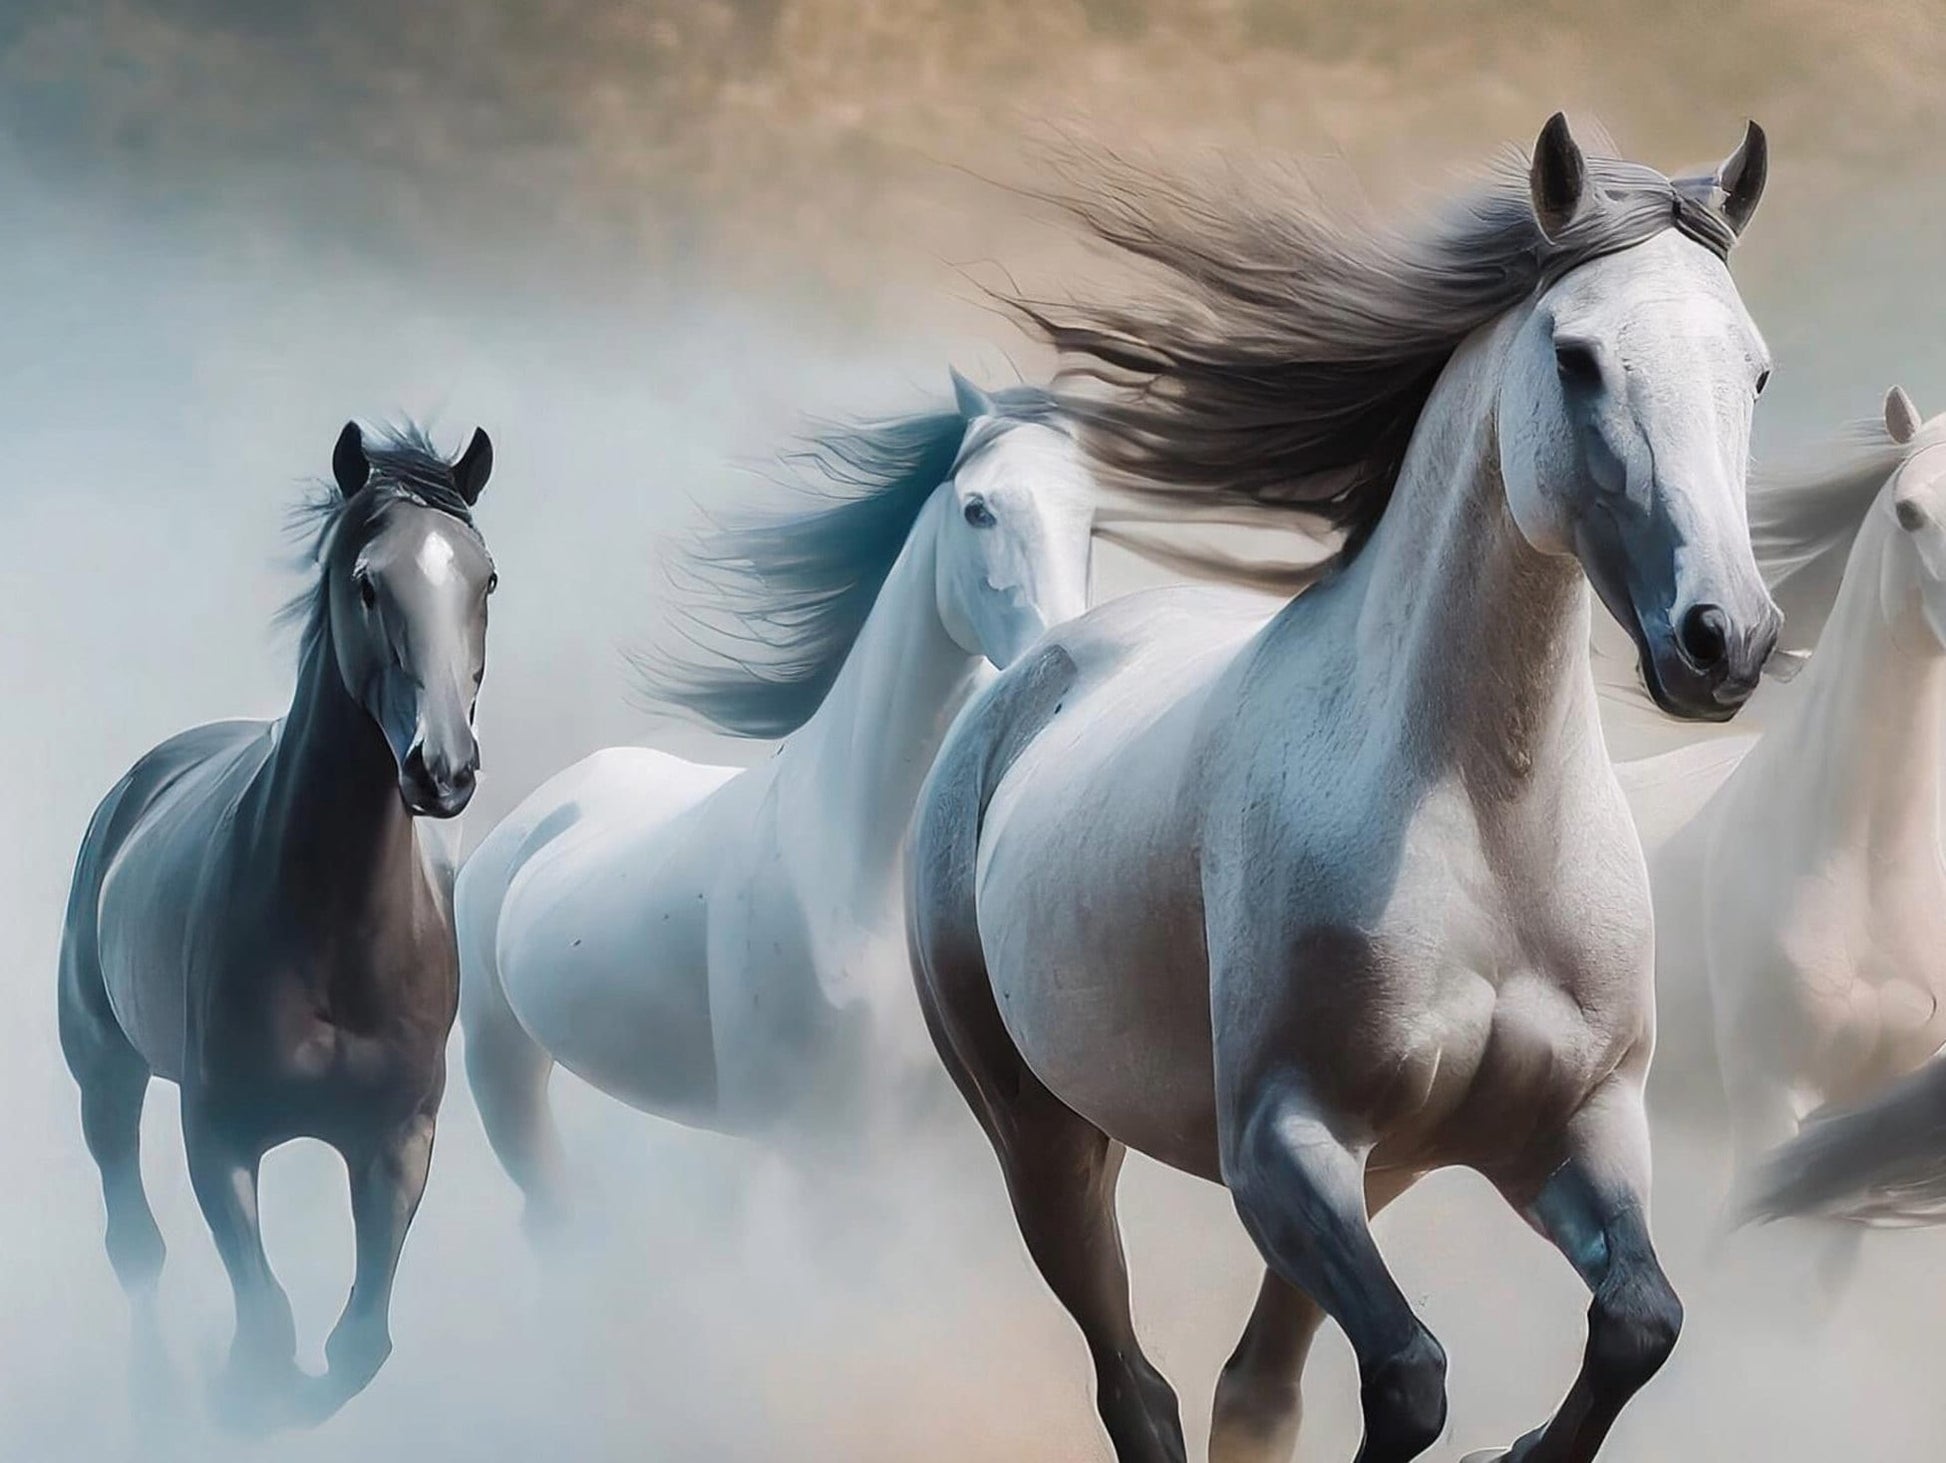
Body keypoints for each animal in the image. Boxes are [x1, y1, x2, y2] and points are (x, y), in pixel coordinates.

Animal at [58, 422, 497, 1427]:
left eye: (485, 577)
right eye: (368, 582)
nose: (443, 768)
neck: (333, 935)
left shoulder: (398, 1137)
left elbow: (358, 1341)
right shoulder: (218, 1132)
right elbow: (265, 1324)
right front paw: (237, 1397)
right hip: (104, 1072)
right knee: (135, 1250)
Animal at [455, 372, 1097, 1229]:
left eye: (1091, 517)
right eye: (978, 509)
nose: (1056, 658)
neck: (846, 869)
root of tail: (536, 817)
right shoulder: (809, 1143)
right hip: (500, 1065)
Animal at [906, 115, 1775, 1463]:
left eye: (1753, 372)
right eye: (1575, 357)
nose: (1721, 641)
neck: (1481, 823)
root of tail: (1028, 675)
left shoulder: (1571, 1129)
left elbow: (1638, 1319)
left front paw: (1519, 1446)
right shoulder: (1280, 1144)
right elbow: (1410, 1374)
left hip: (1375, 1172)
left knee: (1251, 1386)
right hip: (1045, 1137)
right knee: (1134, 1382)